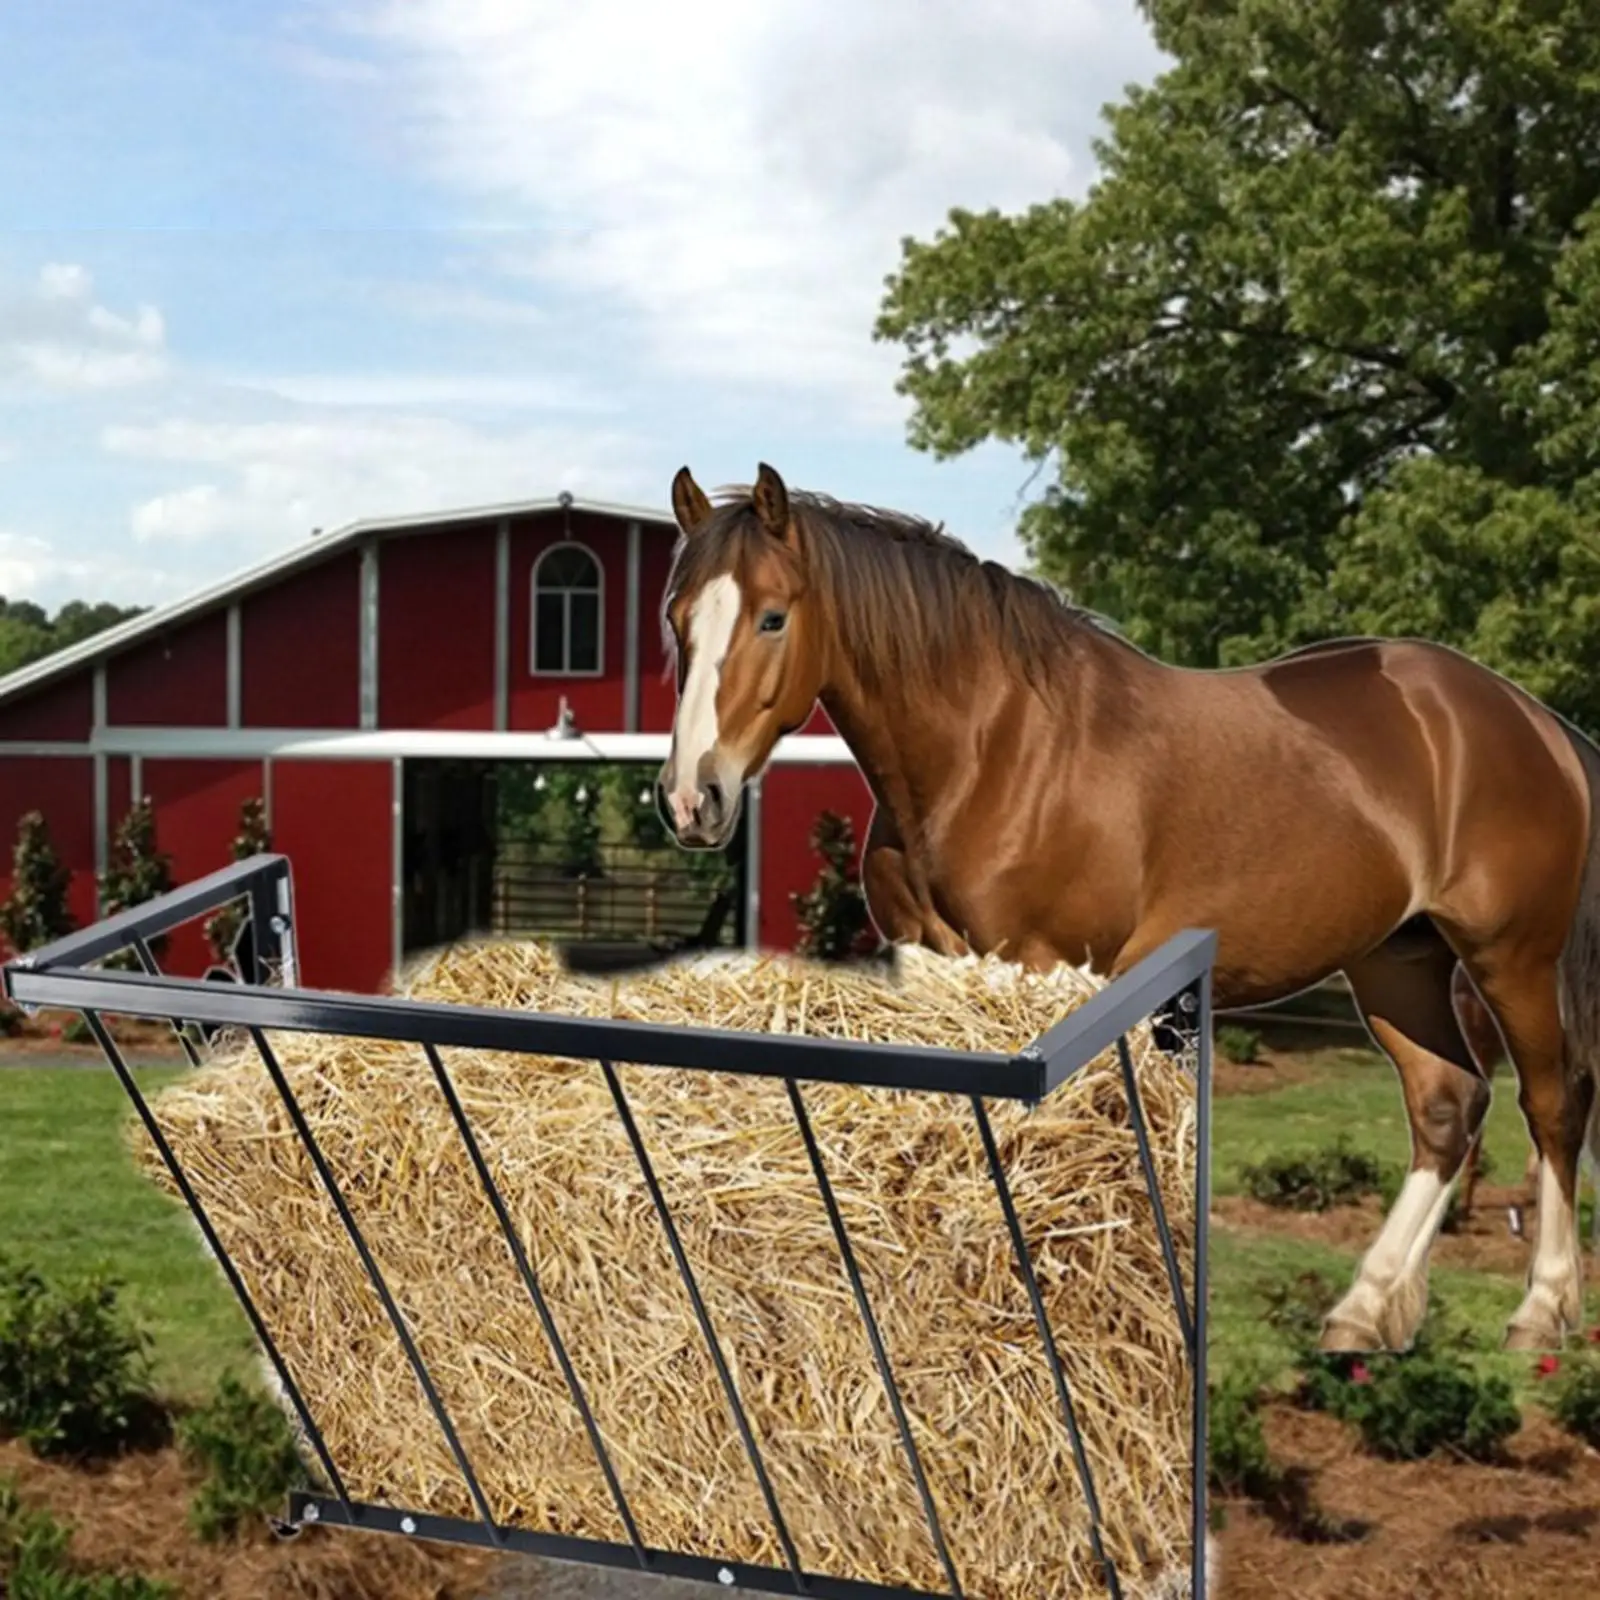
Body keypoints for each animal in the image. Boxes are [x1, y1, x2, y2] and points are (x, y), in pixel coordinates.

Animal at [659, 464, 1600, 1350]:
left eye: (772, 618)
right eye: (678, 620)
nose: (692, 798)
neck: (996, 747)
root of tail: (1534, 720)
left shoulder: (1045, 969)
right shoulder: (935, 968)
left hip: (1509, 956)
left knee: (1552, 1102)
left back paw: (1541, 1310)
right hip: (1397, 959)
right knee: (1448, 1106)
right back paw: (1365, 1313)